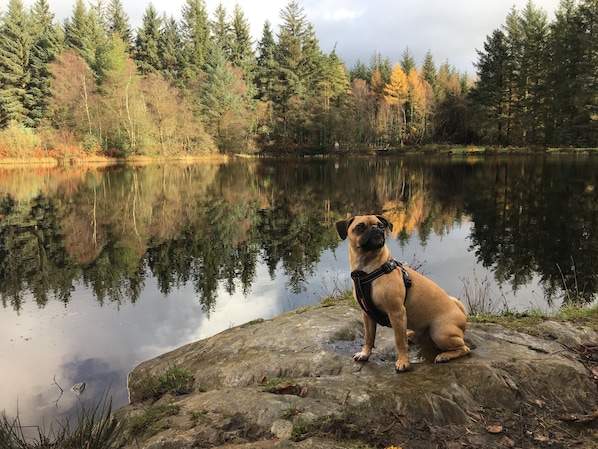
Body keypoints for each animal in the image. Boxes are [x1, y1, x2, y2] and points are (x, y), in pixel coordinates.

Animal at [336, 214, 472, 372]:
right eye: (360, 227)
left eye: (381, 225)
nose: (376, 228)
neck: (366, 270)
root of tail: (460, 312)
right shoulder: (367, 315)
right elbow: (369, 338)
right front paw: (365, 353)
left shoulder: (396, 313)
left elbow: (399, 341)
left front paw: (403, 362)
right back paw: (412, 335)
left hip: (440, 333)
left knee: (465, 348)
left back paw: (445, 356)